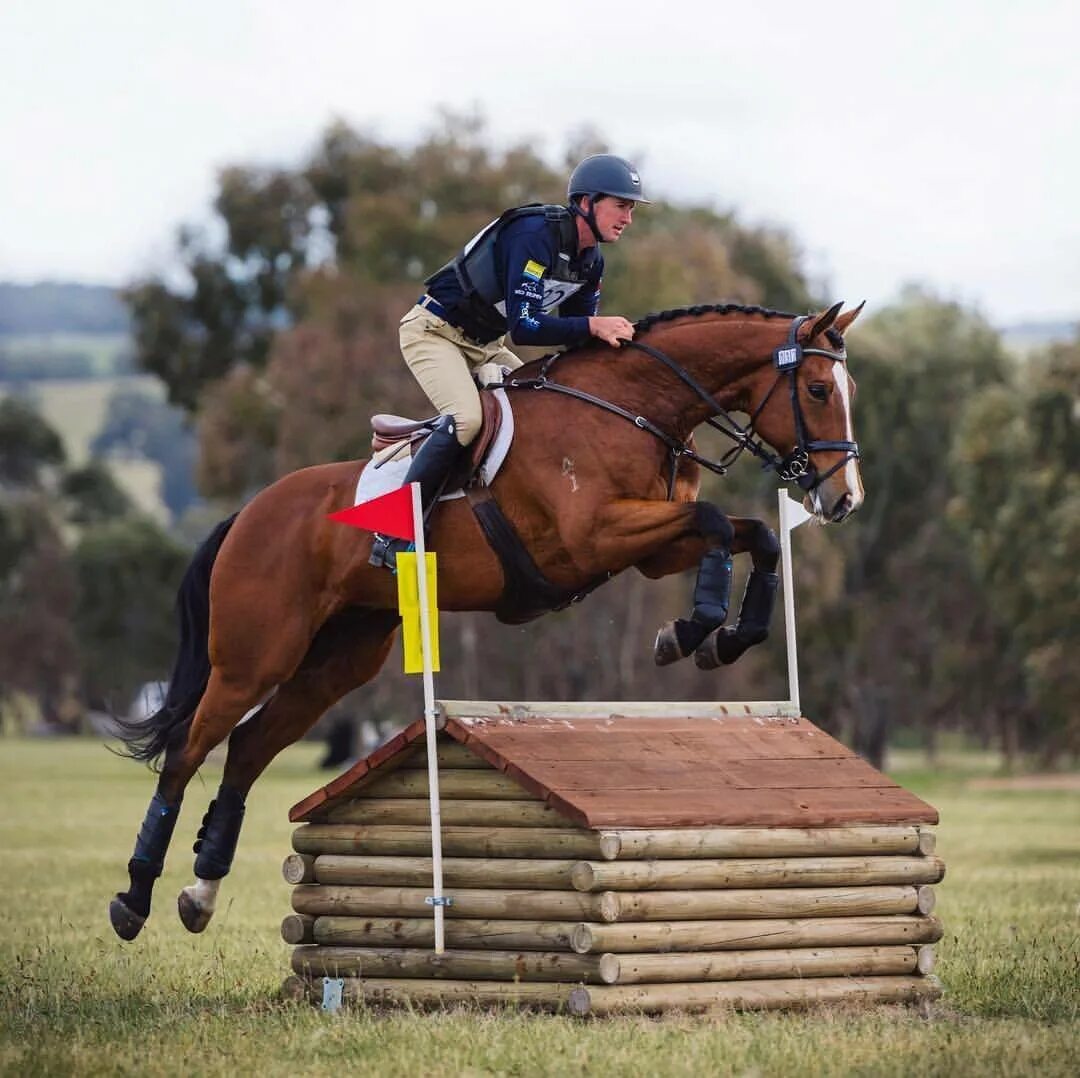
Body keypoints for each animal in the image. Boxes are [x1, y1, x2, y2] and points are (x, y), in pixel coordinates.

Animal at [109, 300, 864, 941]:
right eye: (818, 391)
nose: (844, 500)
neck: (634, 409)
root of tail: (251, 512)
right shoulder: (596, 536)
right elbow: (712, 522)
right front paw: (691, 630)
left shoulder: (650, 550)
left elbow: (753, 535)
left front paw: (721, 638)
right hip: (254, 657)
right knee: (189, 755)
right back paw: (135, 899)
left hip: (336, 662)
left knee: (246, 750)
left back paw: (199, 895)